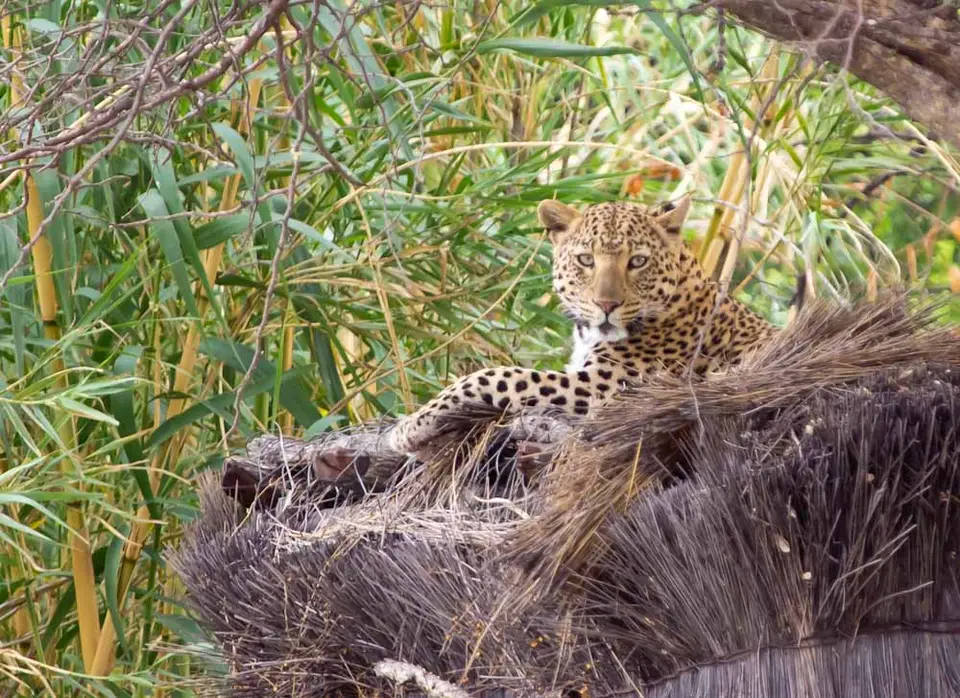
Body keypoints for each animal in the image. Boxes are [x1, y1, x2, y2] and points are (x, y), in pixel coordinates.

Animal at [388, 194, 779, 458]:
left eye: (638, 261)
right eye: (586, 260)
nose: (607, 305)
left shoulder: (606, 387)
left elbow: (497, 375)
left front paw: (410, 427)